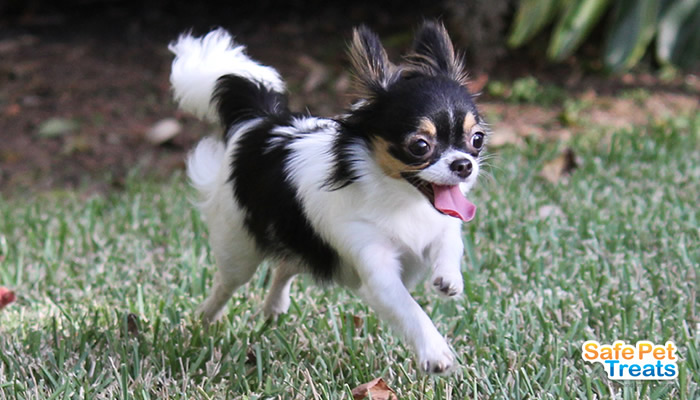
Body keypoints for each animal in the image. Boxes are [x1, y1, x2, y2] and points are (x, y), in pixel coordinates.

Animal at [169, 20, 486, 374]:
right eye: (420, 146)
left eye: (477, 139)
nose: (464, 165)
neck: (404, 199)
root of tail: (261, 121)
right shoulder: (377, 269)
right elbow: (409, 309)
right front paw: (435, 351)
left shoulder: (440, 225)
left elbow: (450, 242)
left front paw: (448, 278)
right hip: (239, 247)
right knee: (228, 283)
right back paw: (205, 319)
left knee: (287, 265)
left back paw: (274, 306)